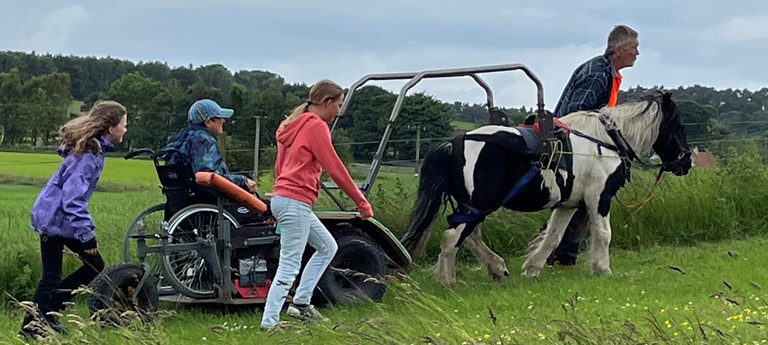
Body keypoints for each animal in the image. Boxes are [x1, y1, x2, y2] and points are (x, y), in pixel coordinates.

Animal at [400, 92, 692, 284]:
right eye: (678, 124)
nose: (686, 161)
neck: (605, 139)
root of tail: (456, 142)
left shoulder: (568, 204)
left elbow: (553, 236)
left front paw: (533, 267)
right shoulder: (599, 197)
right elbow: (603, 233)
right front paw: (602, 269)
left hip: (474, 206)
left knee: (470, 237)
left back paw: (496, 268)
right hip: (479, 204)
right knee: (452, 237)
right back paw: (447, 279)